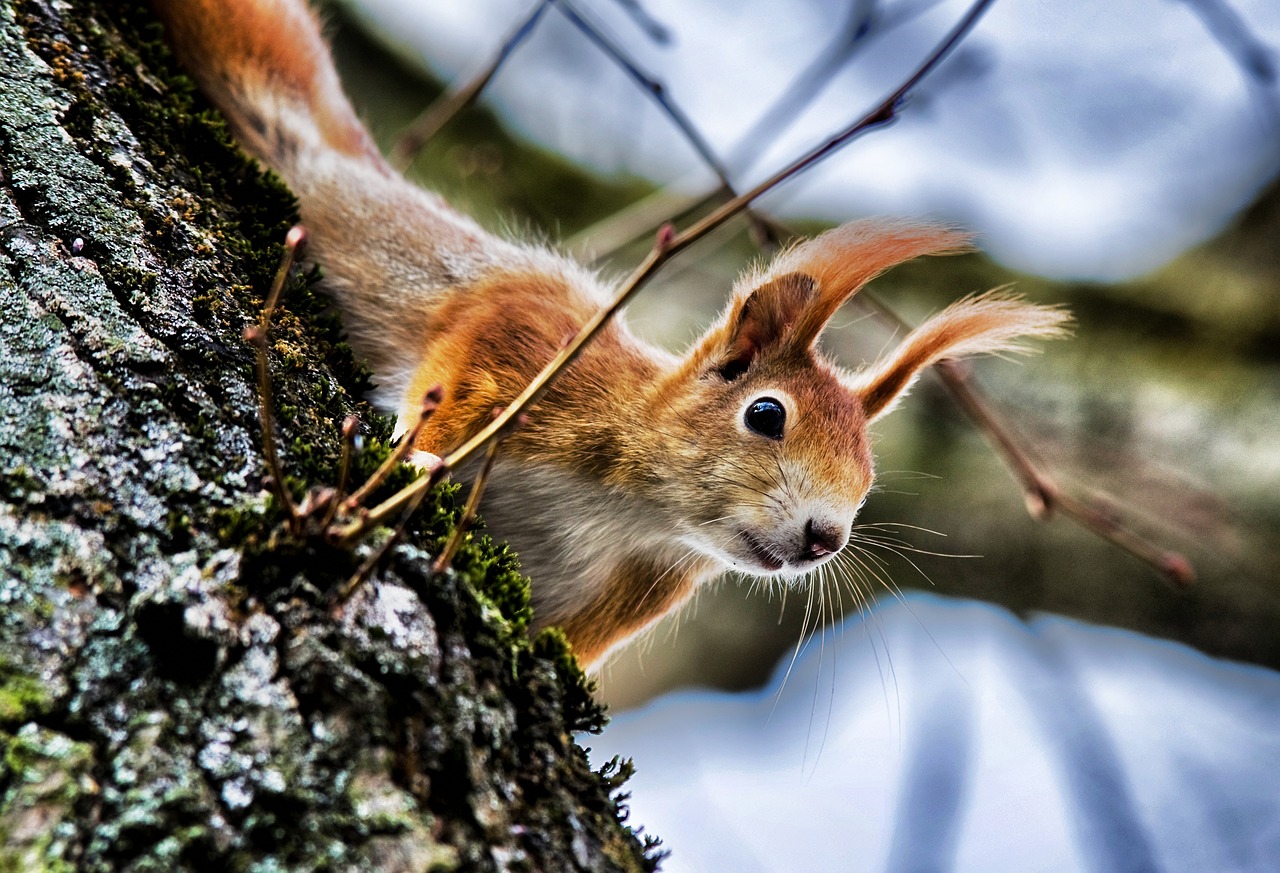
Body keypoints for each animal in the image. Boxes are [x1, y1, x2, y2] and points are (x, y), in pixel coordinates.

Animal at [149, 0, 1070, 665]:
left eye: (871, 473)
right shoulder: (528, 345)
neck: (627, 505)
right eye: (766, 413)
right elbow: (462, 363)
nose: (825, 537)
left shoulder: (622, 592)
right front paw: (416, 458)